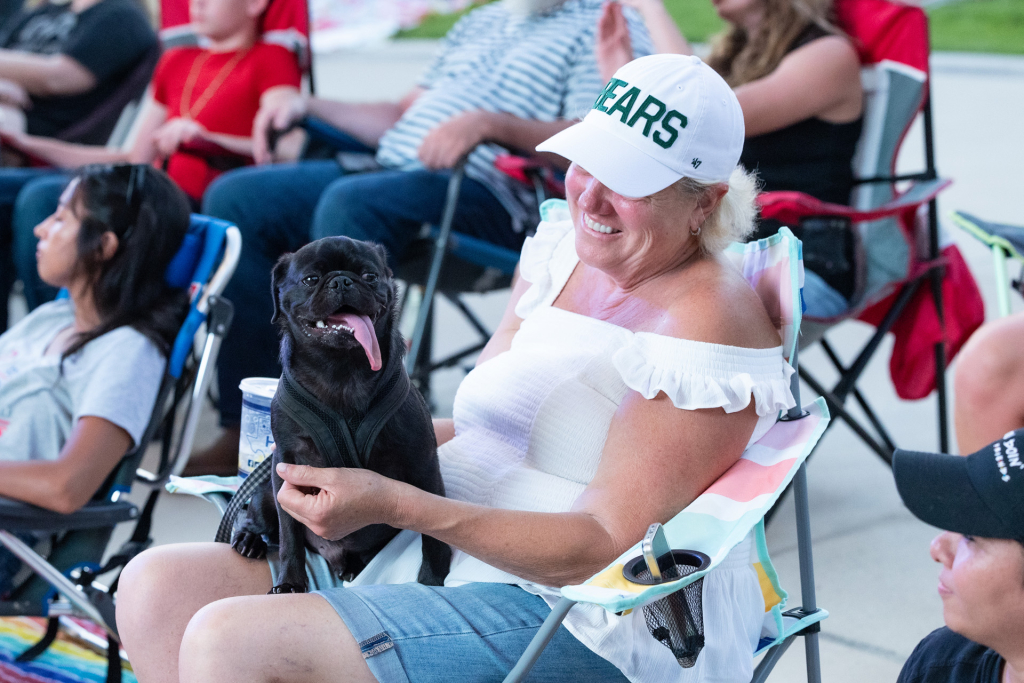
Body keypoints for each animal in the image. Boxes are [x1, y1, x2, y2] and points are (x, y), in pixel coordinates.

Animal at [231, 236, 451, 592]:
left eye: (370, 276)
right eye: (311, 279)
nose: (342, 280)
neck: (341, 371)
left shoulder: (424, 465)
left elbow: (433, 537)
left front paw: (430, 581)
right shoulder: (286, 466)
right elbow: (290, 536)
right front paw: (290, 582)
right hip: (266, 497)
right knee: (251, 516)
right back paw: (248, 540)